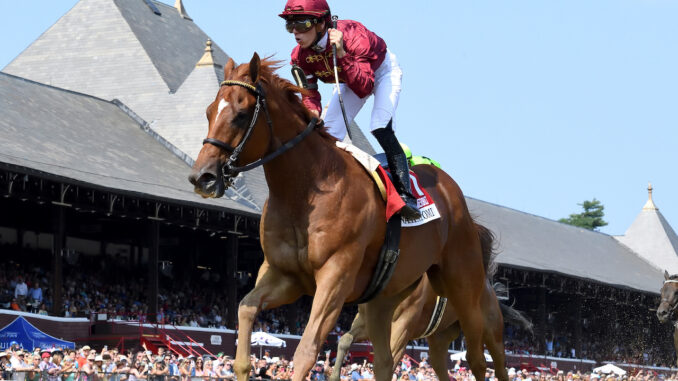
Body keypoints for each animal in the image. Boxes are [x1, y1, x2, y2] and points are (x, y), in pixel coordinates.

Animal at [189, 53, 492, 380]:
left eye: (241, 114)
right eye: (208, 112)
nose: (202, 177)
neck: (307, 190)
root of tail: (455, 196)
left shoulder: (336, 275)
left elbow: (307, 350)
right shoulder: (285, 276)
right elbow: (245, 309)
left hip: (463, 290)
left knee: (477, 358)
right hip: (386, 299)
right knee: (385, 360)